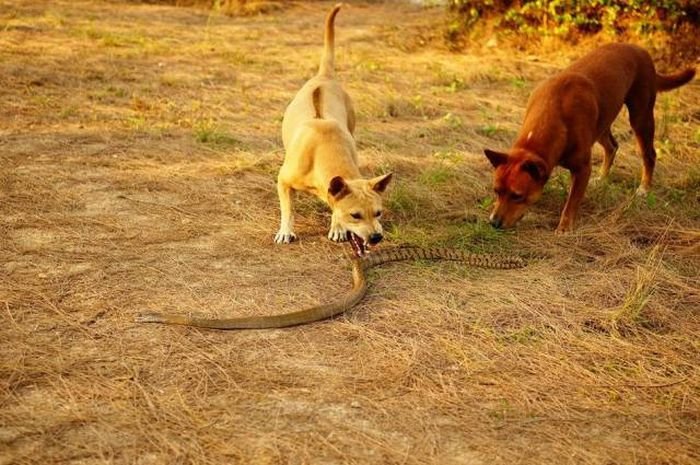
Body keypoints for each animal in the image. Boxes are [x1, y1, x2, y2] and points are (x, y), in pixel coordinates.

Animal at [274, 2, 394, 254]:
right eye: (355, 215)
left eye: (378, 212)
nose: (376, 237)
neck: (323, 151)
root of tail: (324, 76)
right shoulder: (283, 181)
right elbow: (287, 209)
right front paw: (286, 231)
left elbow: (334, 208)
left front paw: (337, 227)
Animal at [486, 43, 696, 232]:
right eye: (496, 191)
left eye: (517, 195)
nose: (493, 223)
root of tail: (641, 50)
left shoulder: (582, 169)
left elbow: (572, 202)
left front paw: (564, 228)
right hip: (602, 122)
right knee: (612, 146)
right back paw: (602, 177)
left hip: (641, 117)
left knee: (649, 154)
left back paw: (644, 188)